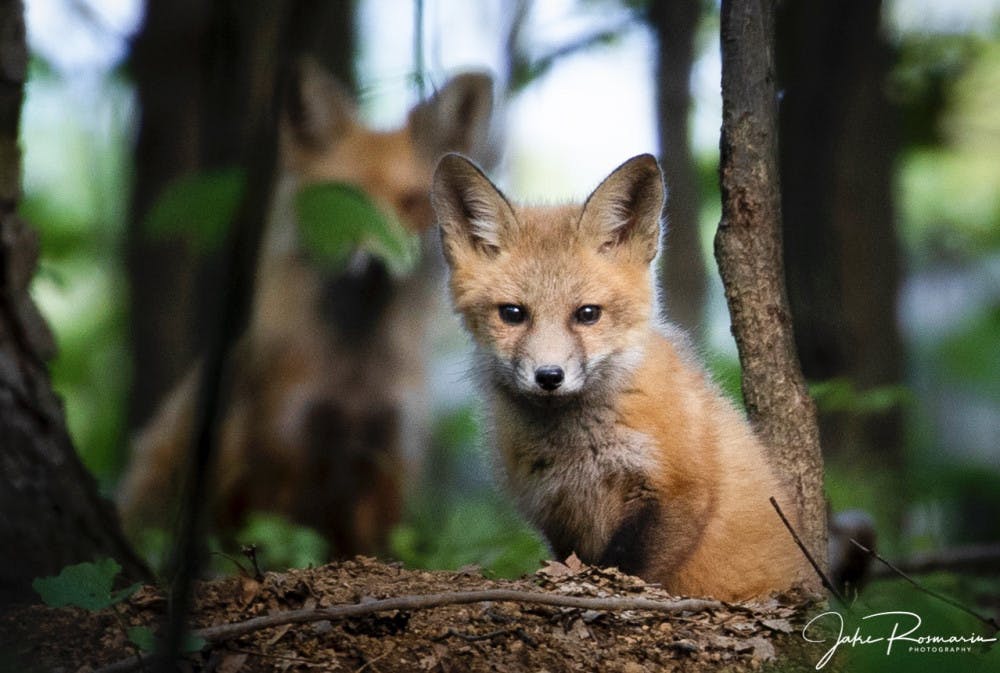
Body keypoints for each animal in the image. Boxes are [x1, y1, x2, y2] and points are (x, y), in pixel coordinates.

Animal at [118, 60, 496, 557]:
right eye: (342, 199)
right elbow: (279, 543)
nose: (376, 259)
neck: (353, 370)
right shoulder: (279, 446)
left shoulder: (388, 453)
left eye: (412, 202)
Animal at [432, 153, 813, 601]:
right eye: (512, 313)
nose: (549, 376)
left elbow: (627, 569)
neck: (576, 448)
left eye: (587, 314)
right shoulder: (553, 508)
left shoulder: (679, 491)